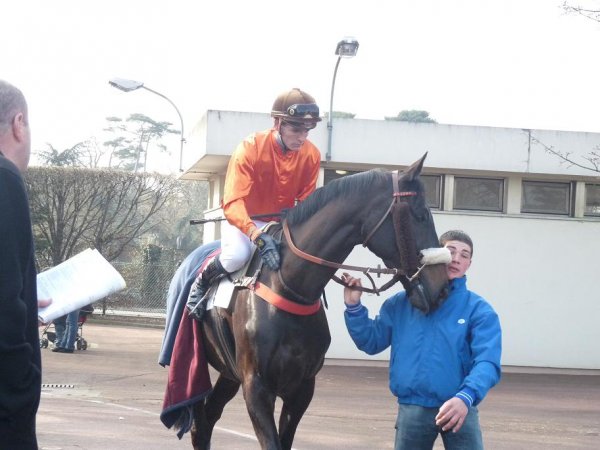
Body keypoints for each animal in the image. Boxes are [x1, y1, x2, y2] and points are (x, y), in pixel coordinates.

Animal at [185, 154, 448, 450]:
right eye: (421, 214)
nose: (442, 287)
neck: (288, 286)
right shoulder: (256, 387)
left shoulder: (302, 388)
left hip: (229, 373)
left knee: (207, 417)